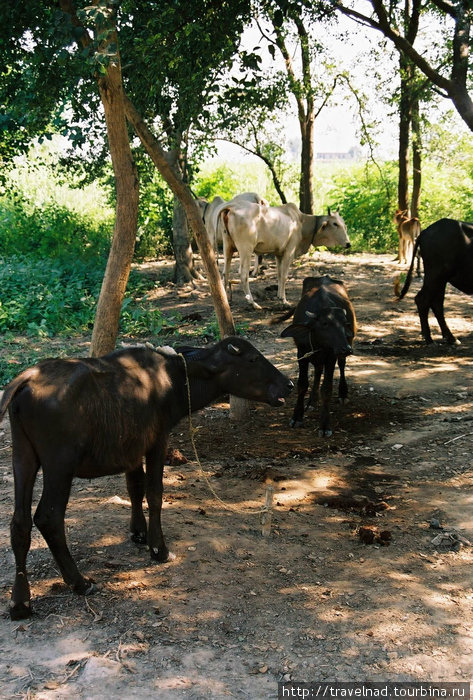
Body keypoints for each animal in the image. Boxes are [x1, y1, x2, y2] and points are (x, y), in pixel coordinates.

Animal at [0, 340, 292, 616]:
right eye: (253, 358)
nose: (288, 385)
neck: (173, 378)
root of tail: (26, 379)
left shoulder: (131, 449)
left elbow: (134, 487)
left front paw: (138, 532)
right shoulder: (157, 442)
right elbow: (154, 492)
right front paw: (158, 548)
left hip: (22, 456)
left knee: (19, 521)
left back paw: (20, 601)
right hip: (59, 464)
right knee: (48, 517)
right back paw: (79, 582)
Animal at [219, 201, 348, 308]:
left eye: (343, 224)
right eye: (335, 223)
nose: (348, 243)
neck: (301, 222)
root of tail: (232, 207)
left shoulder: (278, 254)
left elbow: (279, 275)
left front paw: (279, 296)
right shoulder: (289, 252)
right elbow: (285, 276)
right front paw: (284, 300)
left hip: (227, 246)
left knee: (225, 273)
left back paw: (226, 301)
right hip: (246, 248)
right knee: (244, 275)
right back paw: (253, 303)